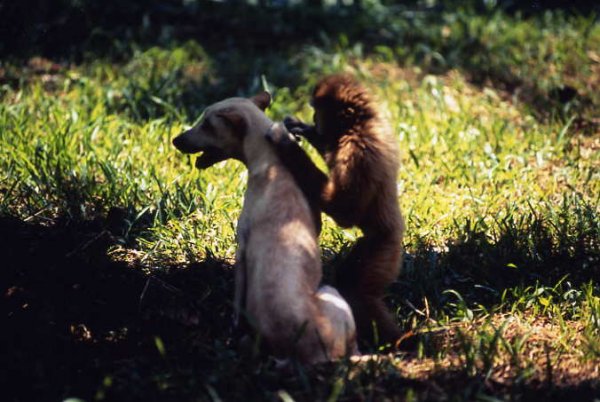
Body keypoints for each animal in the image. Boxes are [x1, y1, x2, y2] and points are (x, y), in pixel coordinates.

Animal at [266, 74, 404, 344]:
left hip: (383, 247)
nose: (313, 118)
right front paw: (305, 130)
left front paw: (286, 144)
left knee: (355, 293)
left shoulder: (357, 151)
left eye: (318, 111)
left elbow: (346, 215)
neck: (361, 126)